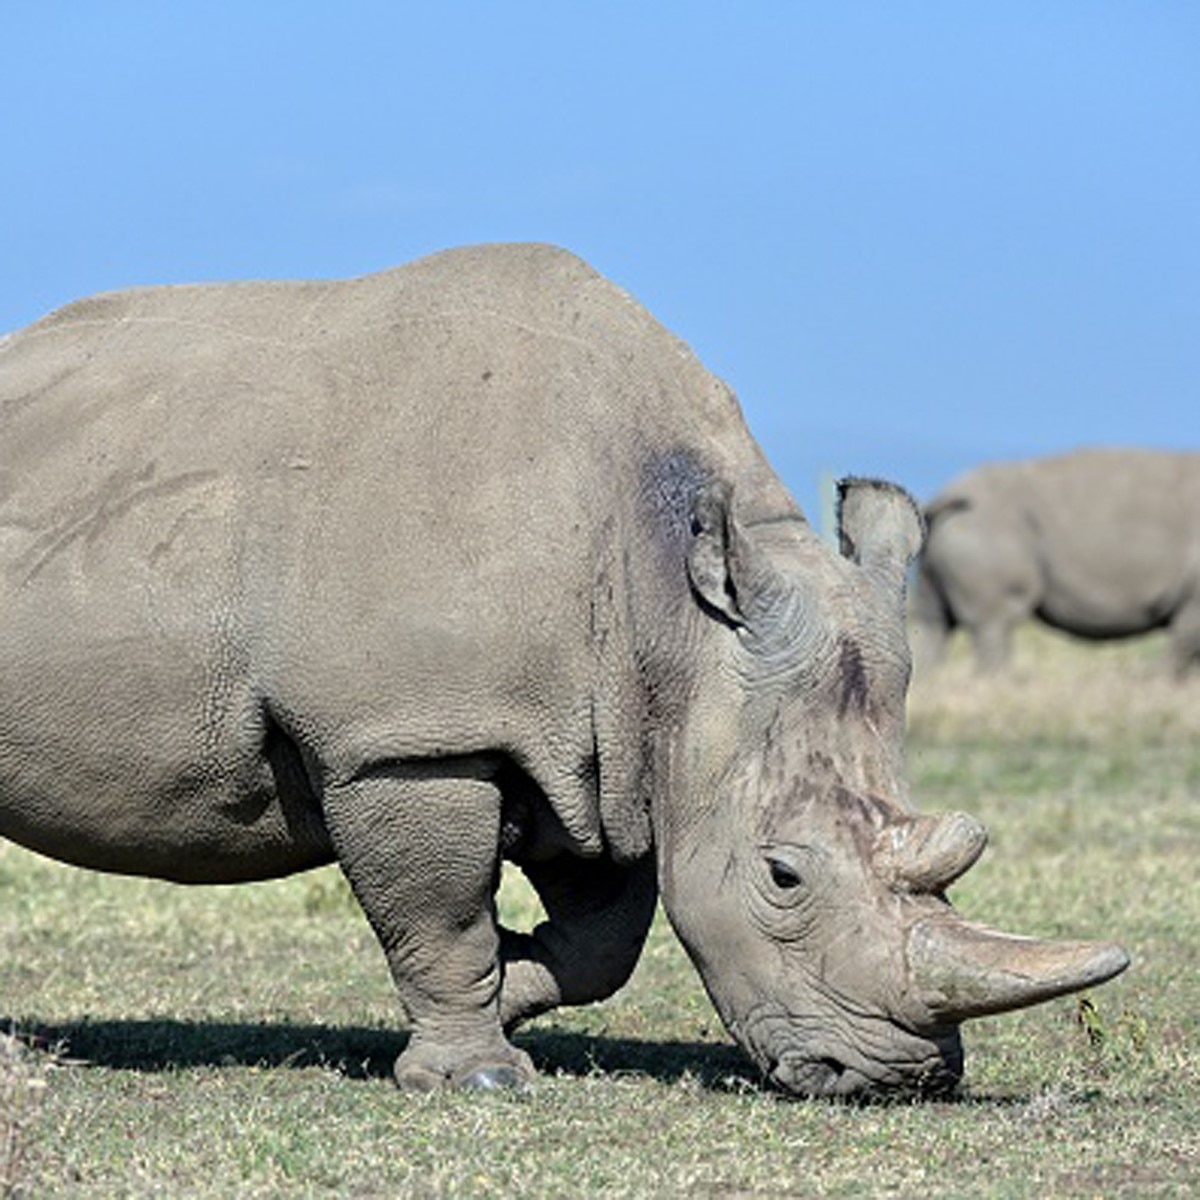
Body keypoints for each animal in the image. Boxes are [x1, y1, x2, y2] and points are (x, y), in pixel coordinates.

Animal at [0, 244, 1127, 1097]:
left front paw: (505, 987)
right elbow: (442, 909)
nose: (901, 1079)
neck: (674, 618)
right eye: (783, 876)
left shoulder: (612, 743)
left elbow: (602, 939)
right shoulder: (412, 737)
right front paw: (478, 1075)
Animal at [913, 448, 1200, 676]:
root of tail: (939, 497)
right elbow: (1185, 642)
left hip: (948, 536)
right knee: (995, 620)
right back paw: (997, 683)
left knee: (934, 622)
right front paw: (1157, 684)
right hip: (986, 526)